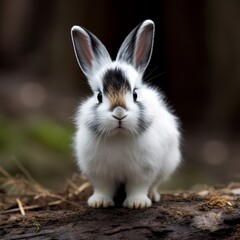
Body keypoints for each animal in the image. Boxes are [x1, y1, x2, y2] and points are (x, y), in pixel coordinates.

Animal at [70, 20, 181, 208]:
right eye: (99, 96)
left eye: (135, 94)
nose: (119, 113)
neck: (118, 135)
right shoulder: (100, 173)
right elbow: (103, 188)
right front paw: (99, 203)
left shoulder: (144, 171)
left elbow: (139, 187)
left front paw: (137, 204)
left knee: (155, 184)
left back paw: (153, 196)